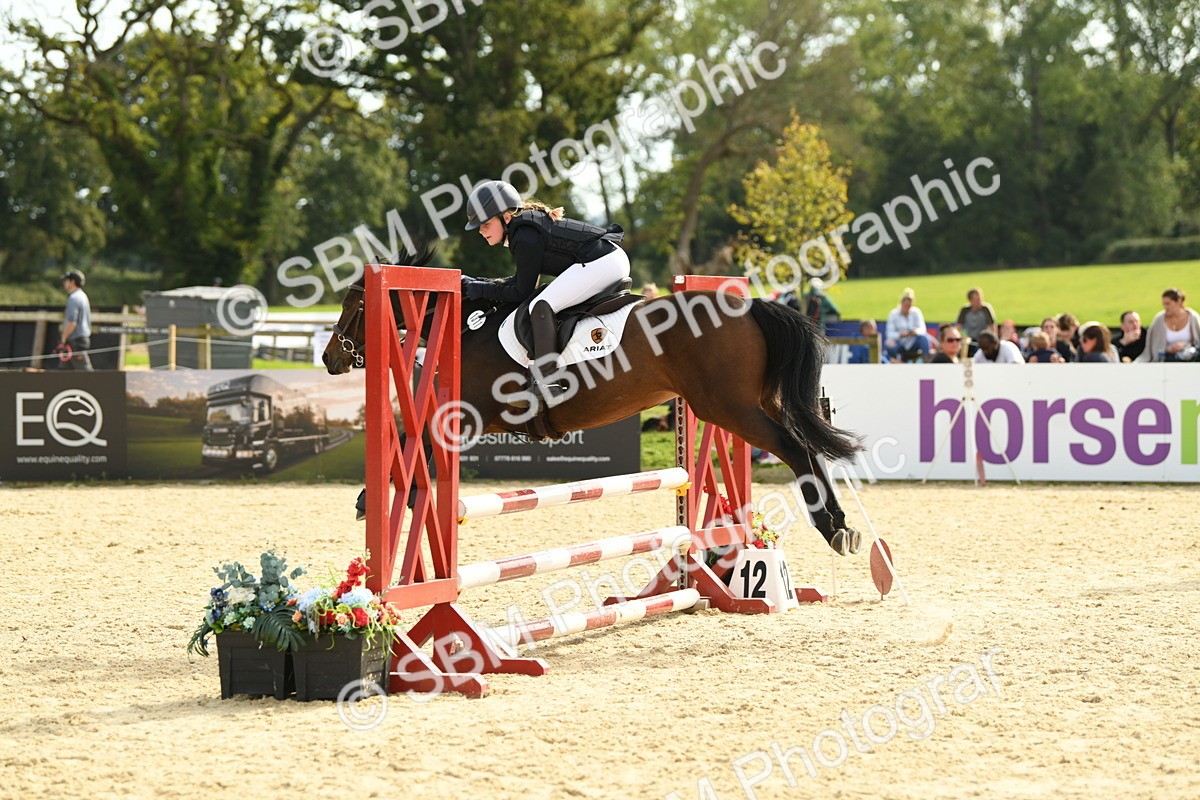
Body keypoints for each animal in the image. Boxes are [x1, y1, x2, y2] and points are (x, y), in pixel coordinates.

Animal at [323, 255, 863, 555]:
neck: (461, 330)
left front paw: (369, 500)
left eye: (353, 304)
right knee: (806, 446)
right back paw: (843, 526)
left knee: (793, 447)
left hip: (727, 408)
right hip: (748, 404)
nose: (329, 358)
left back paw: (832, 528)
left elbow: (414, 441)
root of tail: (748, 306)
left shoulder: (468, 413)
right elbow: (416, 443)